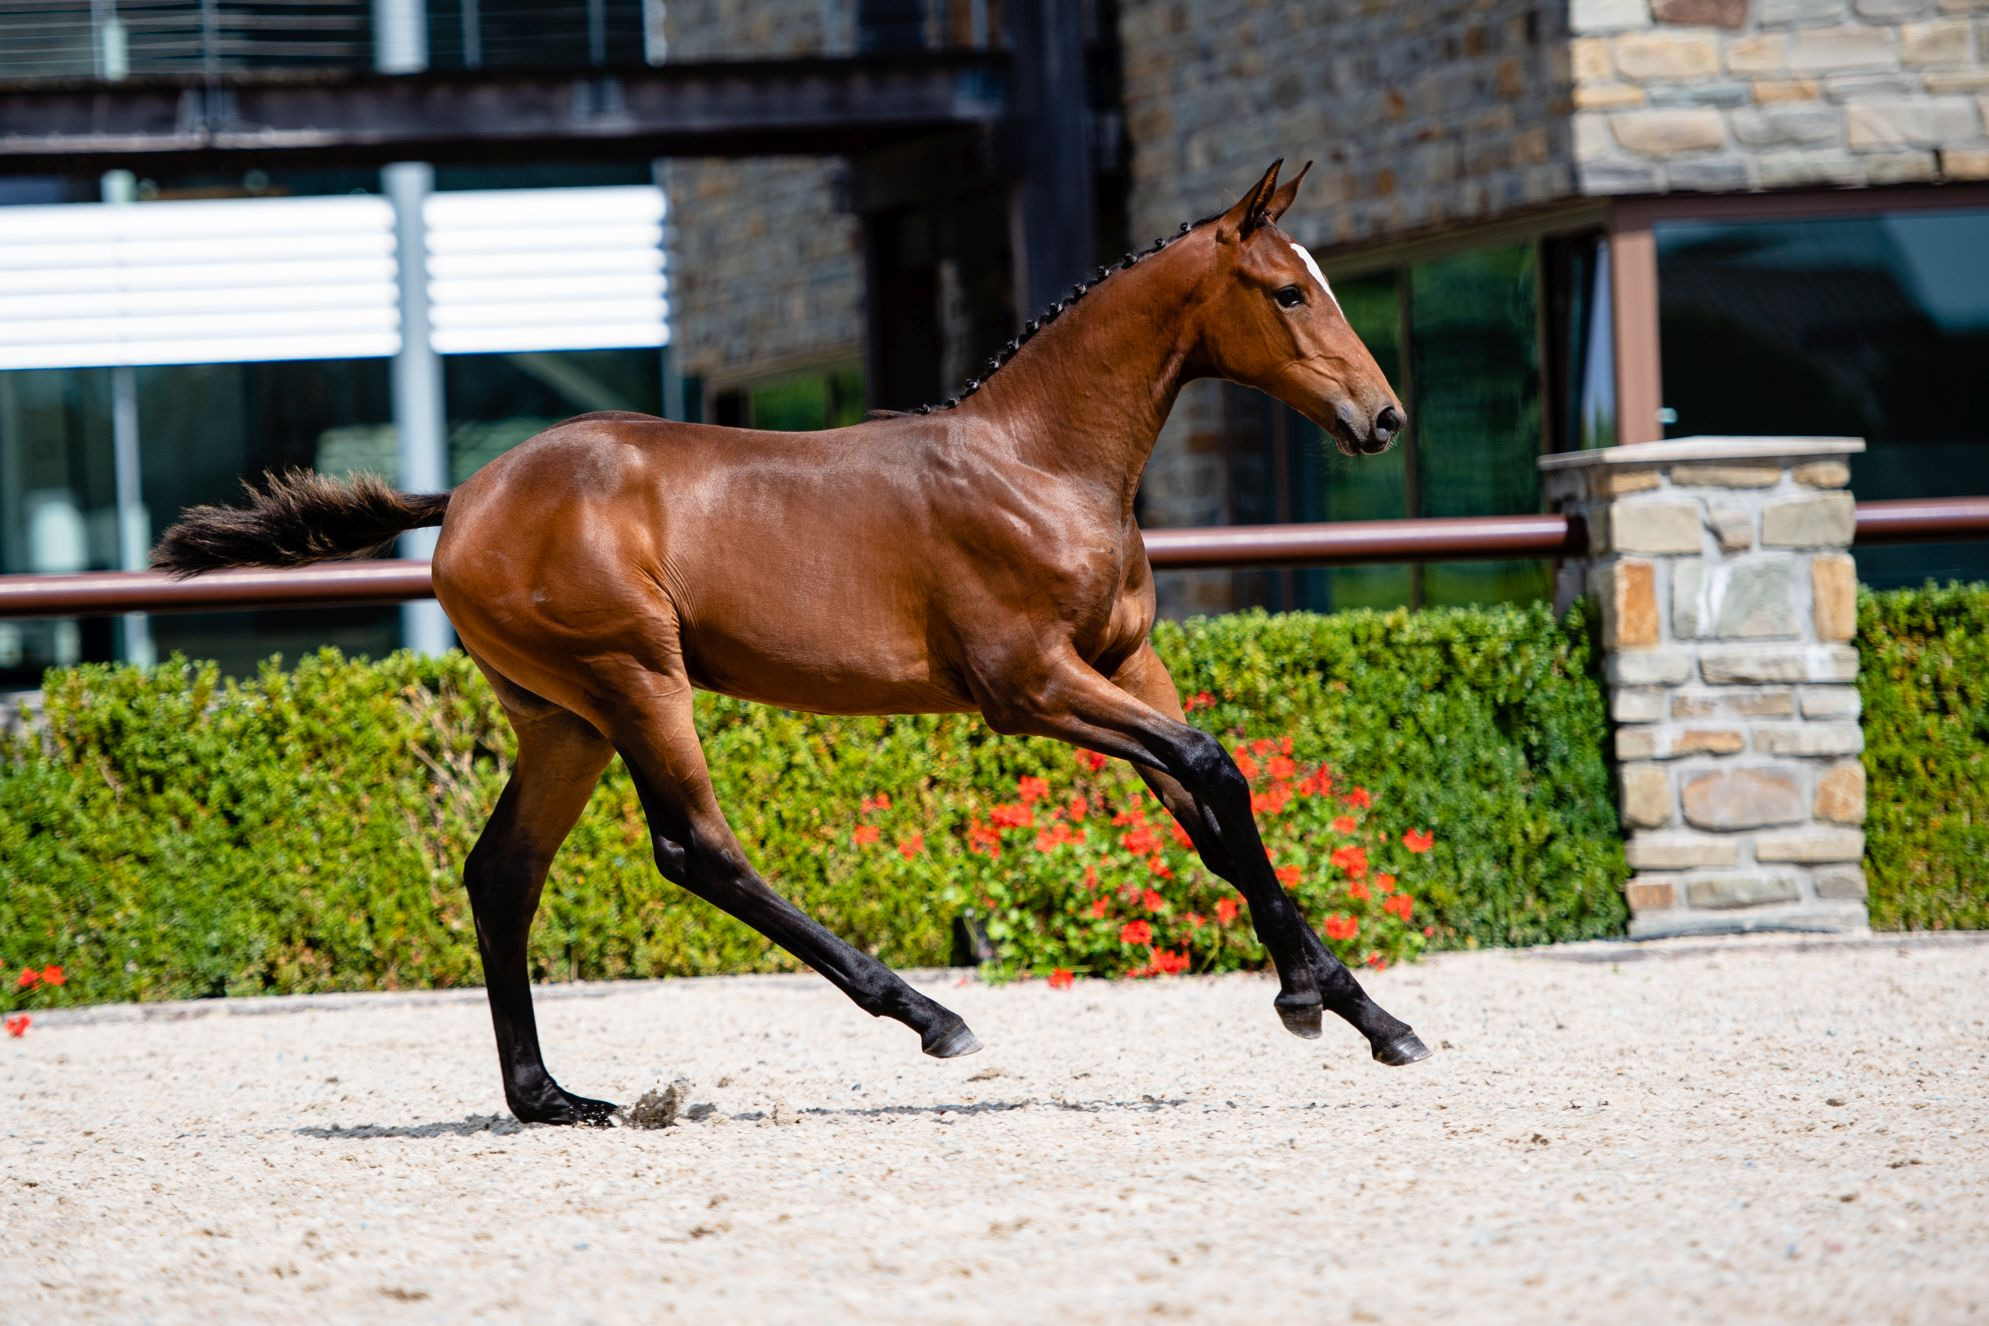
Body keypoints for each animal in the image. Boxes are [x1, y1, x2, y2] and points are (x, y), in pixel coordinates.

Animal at [153, 159, 1430, 1126]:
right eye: (1287, 291)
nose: (1384, 419)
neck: (1040, 464)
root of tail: (462, 497)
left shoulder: (1124, 665)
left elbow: (1216, 813)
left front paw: (1366, 1013)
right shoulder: (1029, 686)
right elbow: (1215, 769)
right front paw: (1311, 1002)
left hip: (561, 718)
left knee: (502, 873)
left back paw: (554, 1099)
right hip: (634, 677)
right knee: (696, 848)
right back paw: (930, 1017)